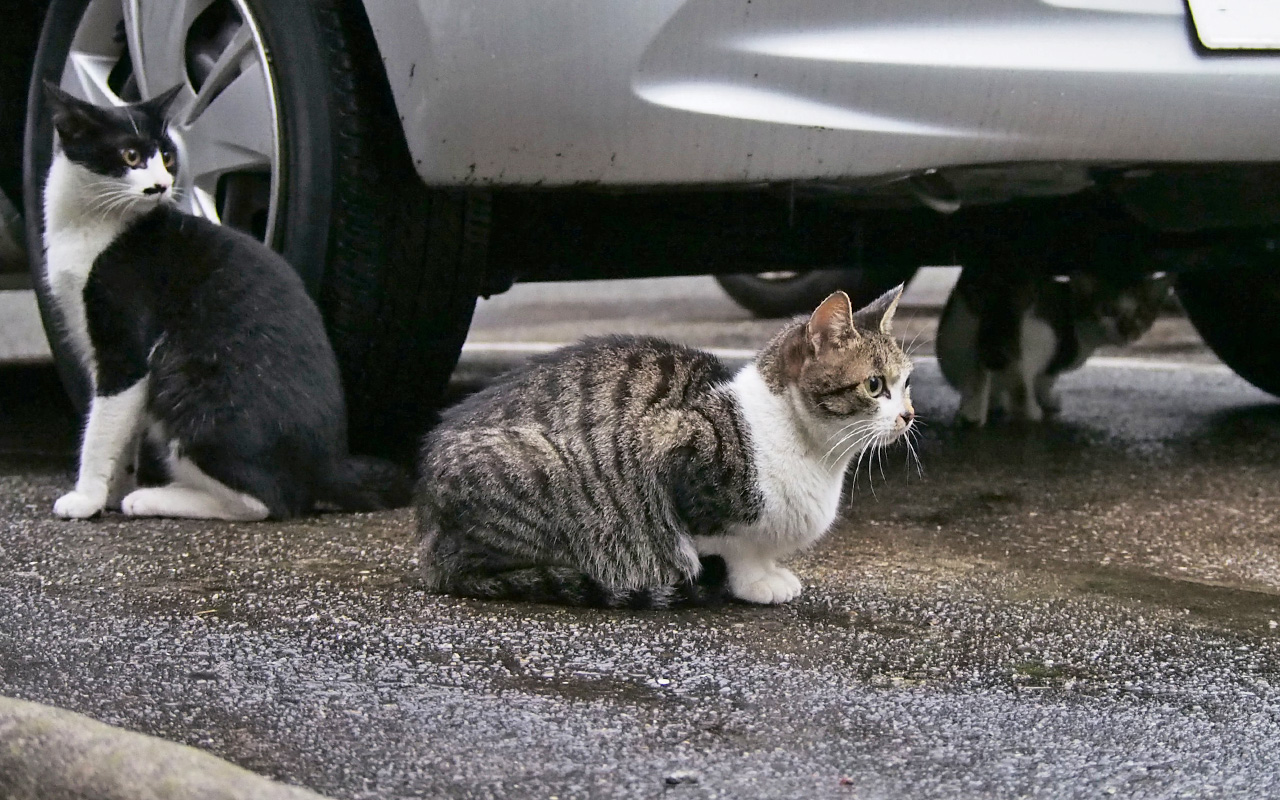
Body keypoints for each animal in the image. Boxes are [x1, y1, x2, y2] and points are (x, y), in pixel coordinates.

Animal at [41, 81, 409, 517]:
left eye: (166, 156)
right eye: (130, 155)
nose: (161, 186)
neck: (93, 225)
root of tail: (328, 465)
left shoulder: (125, 337)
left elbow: (102, 427)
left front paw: (86, 498)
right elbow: (123, 432)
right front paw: (112, 491)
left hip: (189, 389)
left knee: (266, 500)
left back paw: (155, 497)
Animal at [417, 286, 911, 604]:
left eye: (906, 383)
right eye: (874, 385)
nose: (908, 415)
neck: (817, 456)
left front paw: (771, 572)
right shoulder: (670, 450)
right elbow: (734, 545)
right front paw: (756, 582)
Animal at [931, 261, 1172, 424]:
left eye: (1141, 313)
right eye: (1107, 311)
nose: (1127, 330)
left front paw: (993, 403)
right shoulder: (1055, 359)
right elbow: (1045, 381)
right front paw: (1048, 402)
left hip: (954, 340)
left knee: (975, 376)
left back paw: (971, 412)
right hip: (1039, 339)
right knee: (1021, 385)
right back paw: (1031, 412)